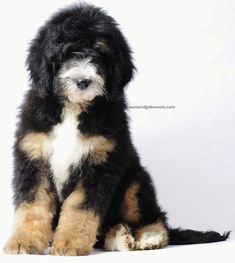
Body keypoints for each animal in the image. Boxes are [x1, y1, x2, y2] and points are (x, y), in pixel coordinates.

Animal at [4, 3, 229, 256]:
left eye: (100, 55)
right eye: (67, 52)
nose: (83, 82)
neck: (74, 108)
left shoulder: (101, 164)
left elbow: (80, 208)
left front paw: (70, 243)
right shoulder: (33, 158)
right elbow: (33, 205)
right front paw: (24, 241)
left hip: (136, 184)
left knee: (154, 220)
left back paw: (146, 238)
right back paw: (119, 238)